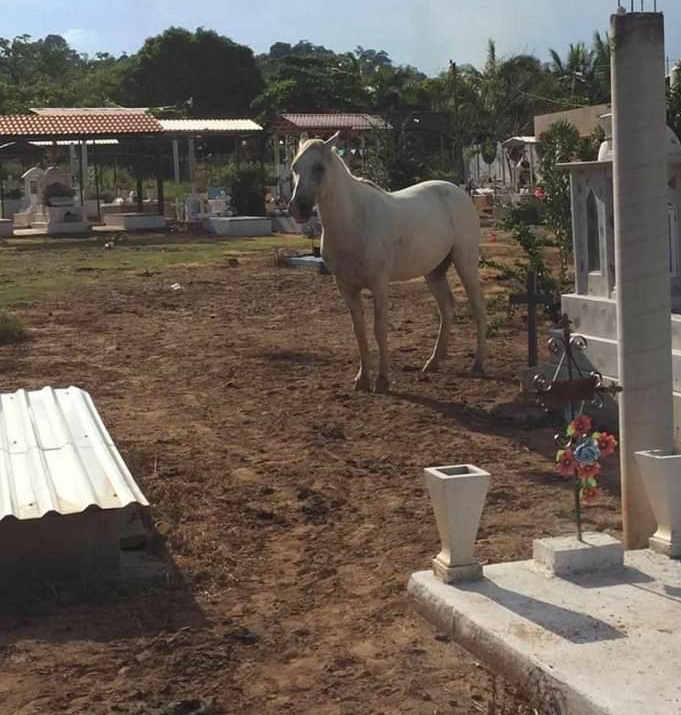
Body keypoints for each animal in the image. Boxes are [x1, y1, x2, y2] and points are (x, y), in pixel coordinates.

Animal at [290, 131, 486, 394]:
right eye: (295, 167)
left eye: (319, 167)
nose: (297, 208)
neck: (354, 220)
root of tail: (459, 192)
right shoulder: (345, 286)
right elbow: (359, 331)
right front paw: (362, 379)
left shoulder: (379, 283)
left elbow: (379, 328)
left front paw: (382, 381)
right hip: (434, 271)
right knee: (446, 308)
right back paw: (432, 363)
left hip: (465, 262)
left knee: (477, 307)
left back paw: (478, 365)